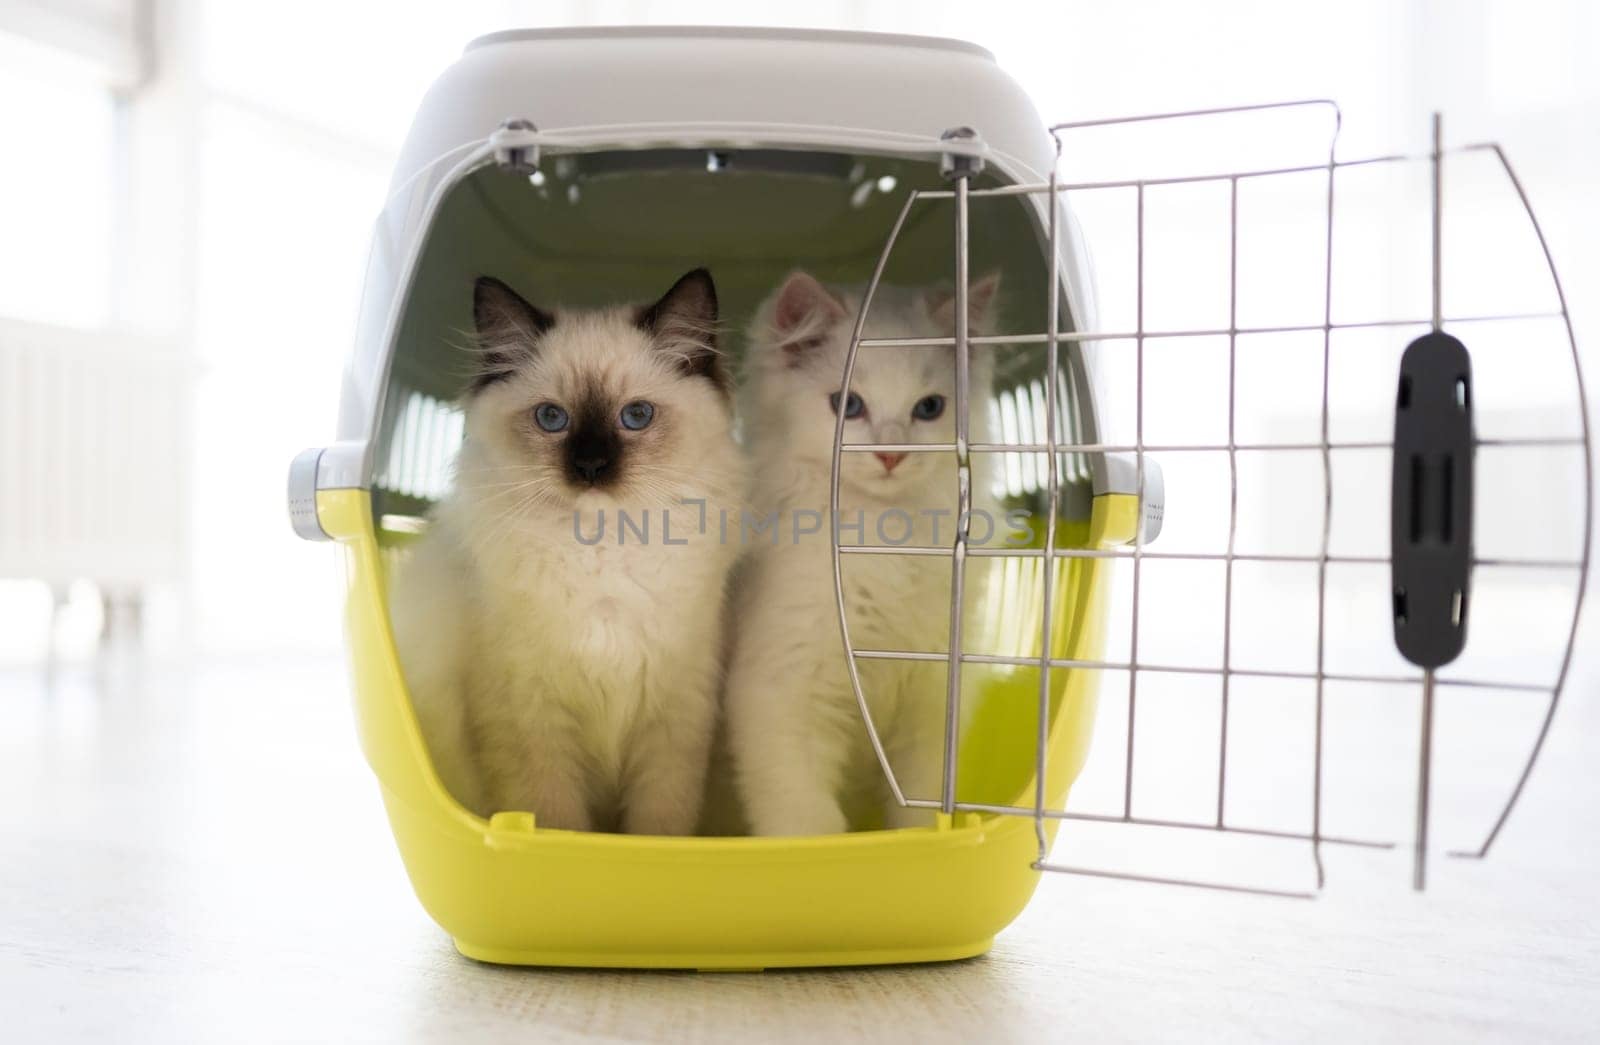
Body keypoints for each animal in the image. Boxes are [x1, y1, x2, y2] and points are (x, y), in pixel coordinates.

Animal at [387, 267, 742, 832]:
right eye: (552, 419)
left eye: (636, 416)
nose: (591, 466)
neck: (599, 550)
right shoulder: (528, 720)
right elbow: (556, 821)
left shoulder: (674, 719)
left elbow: (658, 828)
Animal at [729, 270, 998, 838]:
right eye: (848, 405)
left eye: (929, 408)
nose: (891, 454)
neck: (882, 536)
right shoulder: (782, 690)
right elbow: (805, 819)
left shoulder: (931, 700)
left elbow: (916, 808)